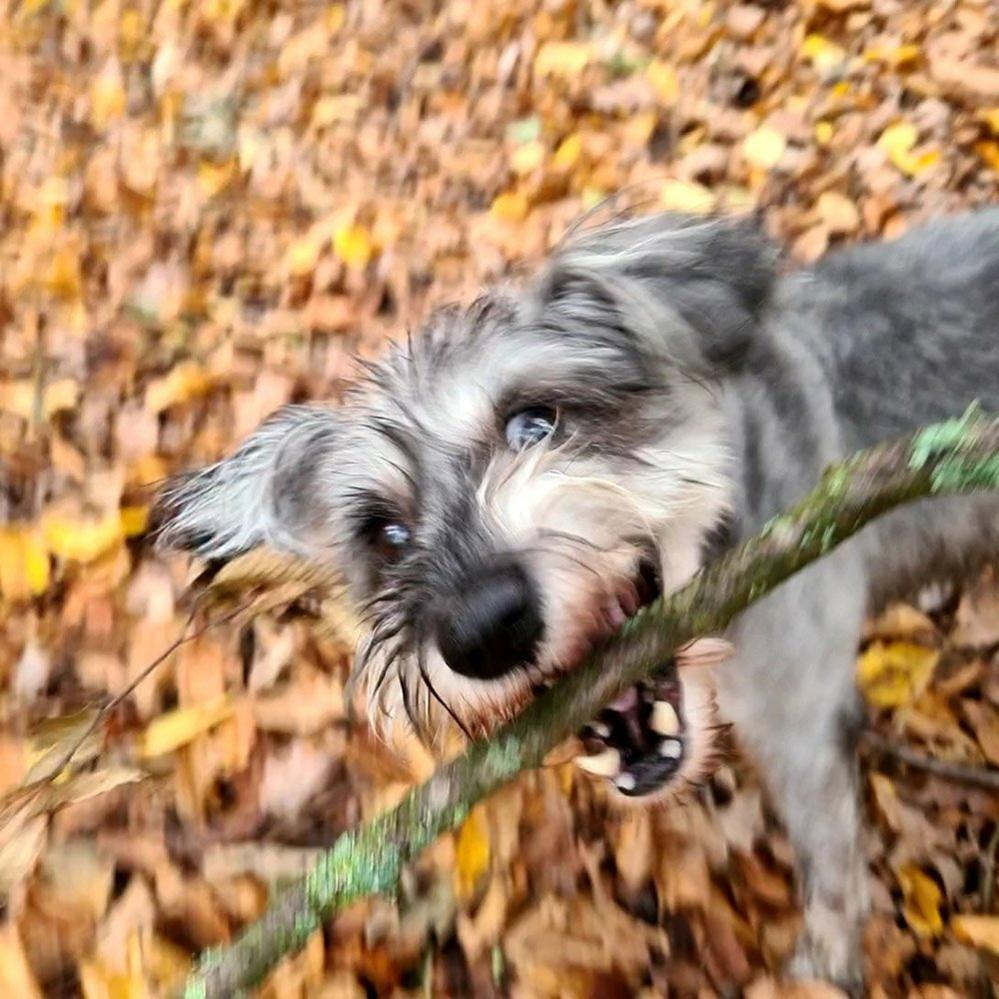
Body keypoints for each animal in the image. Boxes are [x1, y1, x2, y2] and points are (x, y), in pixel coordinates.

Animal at [154, 207, 999, 988]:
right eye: (385, 534)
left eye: (535, 422)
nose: (482, 626)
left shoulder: (799, 723)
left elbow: (827, 852)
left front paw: (827, 957)